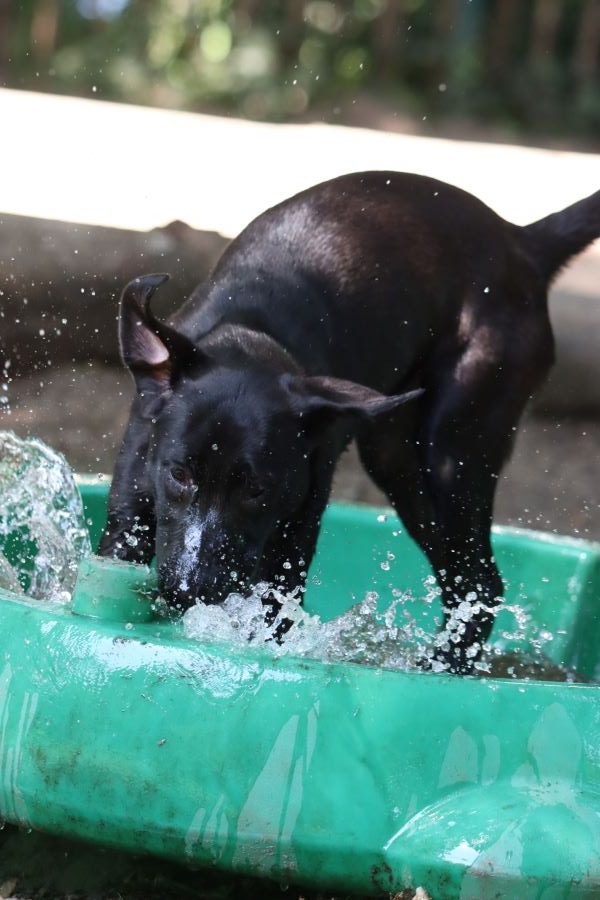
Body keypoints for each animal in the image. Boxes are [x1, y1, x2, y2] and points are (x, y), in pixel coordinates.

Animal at [99, 172, 600, 672]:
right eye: (178, 474)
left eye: (257, 489)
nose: (190, 590)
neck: (249, 337)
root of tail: (521, 241)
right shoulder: (127, 518)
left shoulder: (291, 544)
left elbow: (274, 621)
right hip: (398, 464)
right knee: (461, 576)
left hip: (455, 450)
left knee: (479, 581)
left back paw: (440, 669)